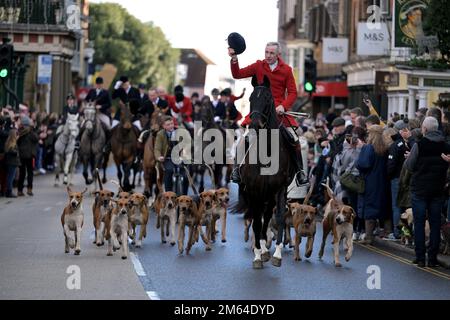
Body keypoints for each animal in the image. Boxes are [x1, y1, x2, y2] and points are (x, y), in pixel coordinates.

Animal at [239, 76, 296, 268]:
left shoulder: (280, 189)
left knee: (268, 214)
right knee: (260, 218)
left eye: (268, 99)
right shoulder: (254, 190)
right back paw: (261, 249)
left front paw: (277, 254)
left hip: (270, 194)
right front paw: (257, 254)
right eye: (250, 99)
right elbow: (257, 222)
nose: (255, 124)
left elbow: (278, 218)